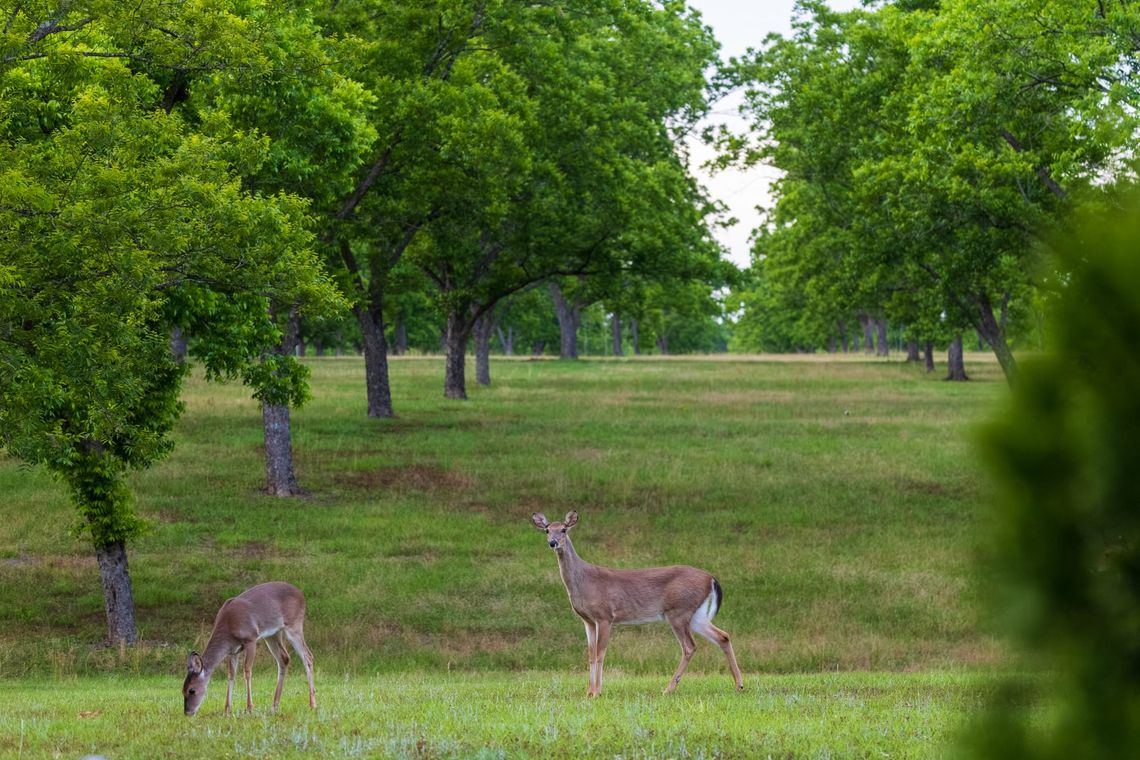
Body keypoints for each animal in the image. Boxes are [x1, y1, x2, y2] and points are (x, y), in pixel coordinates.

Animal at [182, 581, 316, 716]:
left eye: (191, 690)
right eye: (182, 690)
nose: (187, 712)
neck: (229, 629)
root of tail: (301, 594)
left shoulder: (251, 638)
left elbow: (247, 670)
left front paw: (249, 708)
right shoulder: (233, 650)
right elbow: (231, 673)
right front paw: (227, 710)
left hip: (294, 625)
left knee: (308, 656)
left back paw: (312, 704)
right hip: (273, 634)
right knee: (284, 658)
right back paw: (274, 706)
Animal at [532, 511, 744, 697]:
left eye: (564, 529)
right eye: (547, 530)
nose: (553, 543)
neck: (584, 581)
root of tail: (711, 579)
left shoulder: (605, 616)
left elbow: (601, 653)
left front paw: (597, 692)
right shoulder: (588, 620)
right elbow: (590, 654)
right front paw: (588, 692)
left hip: (679, 611)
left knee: (689, 647)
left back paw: (668, 689)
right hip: (695, 615)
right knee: (722, 636)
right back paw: (739, 685)